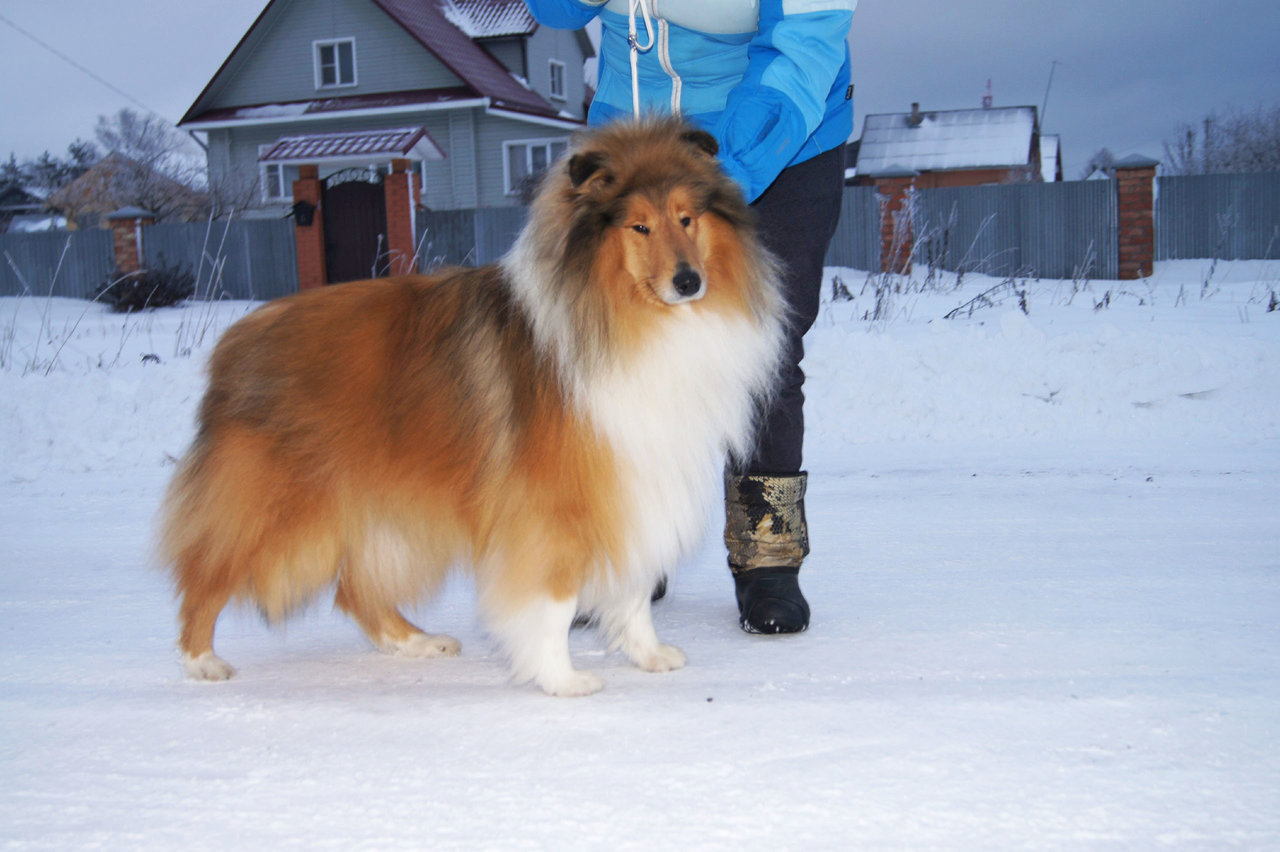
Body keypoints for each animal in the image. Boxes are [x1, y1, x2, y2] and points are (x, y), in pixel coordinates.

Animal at [160, 116, 778, 695]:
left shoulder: (634, 480)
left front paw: (647, 654)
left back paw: (416, 642)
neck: (618, 314)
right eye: (639, 226)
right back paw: (201, 660)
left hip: (385, 512)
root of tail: (232, 344)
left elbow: (633, 588)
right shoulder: (558, 502)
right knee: (205, 574)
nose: (688, 281)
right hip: (280, 513)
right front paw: (561, 679)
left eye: (686, 218)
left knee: (355, 589)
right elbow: (554, 600)